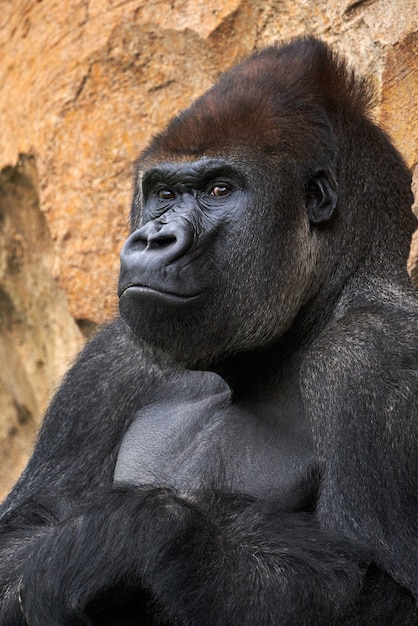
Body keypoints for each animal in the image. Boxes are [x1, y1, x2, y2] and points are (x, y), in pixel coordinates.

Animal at [0, 35, 418, 624]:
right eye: (163, 194)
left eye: (220, 189)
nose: (154, 239)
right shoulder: (109, 360)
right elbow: (18, 534)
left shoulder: (374, 354)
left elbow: (395, 590)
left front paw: (130, 533)